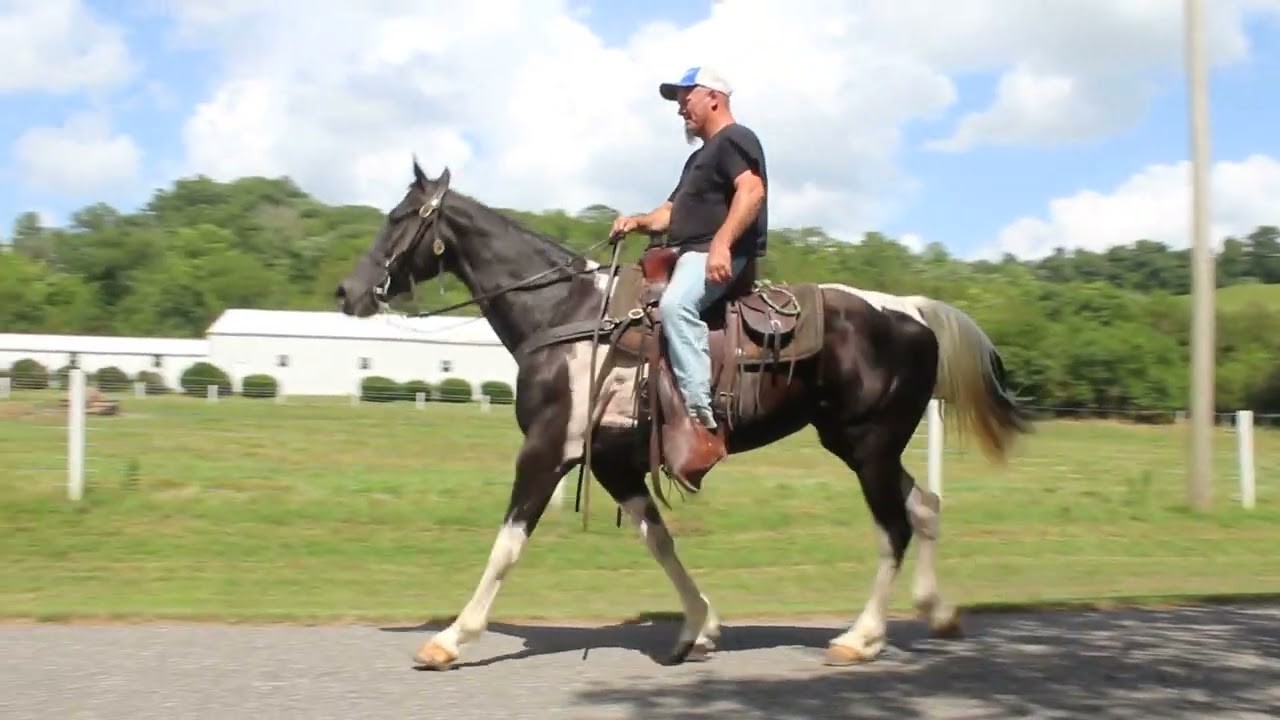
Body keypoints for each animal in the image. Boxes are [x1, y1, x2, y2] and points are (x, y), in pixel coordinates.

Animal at [334, 159, 1034, 671]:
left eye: (399, 218)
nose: (347, 291)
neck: (566, 314)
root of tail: (913, 311)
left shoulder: (548, 450)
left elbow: (507, 545)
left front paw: (451, 638)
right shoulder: (612, 461)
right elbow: (659, 539)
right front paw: (700, 626)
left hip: (869, 447)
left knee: (895, 526)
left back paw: (860, 637)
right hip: (862, 445)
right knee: (926, 507)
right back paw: (937, 613)